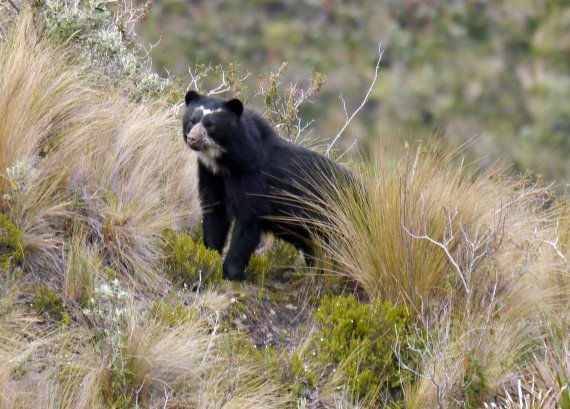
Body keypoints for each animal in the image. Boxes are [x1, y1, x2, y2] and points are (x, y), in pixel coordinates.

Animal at [182, 89, 352, 280]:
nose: (192, 138)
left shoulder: (252, 177)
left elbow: (248, 220)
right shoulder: (210, 175)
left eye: (211, 125)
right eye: (191, 121)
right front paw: (210, 257)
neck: (225, 162)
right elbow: (214, 213)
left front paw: (231, 273)